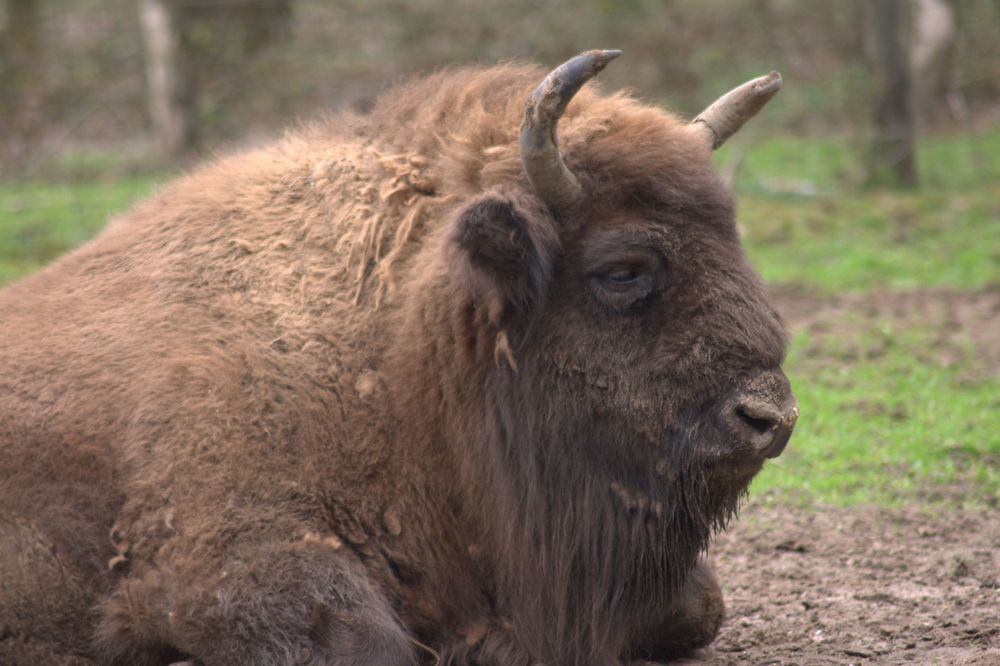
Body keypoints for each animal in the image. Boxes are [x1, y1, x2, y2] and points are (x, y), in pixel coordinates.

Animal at [1, 53, 796, 664]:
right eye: (623, 269)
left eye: (733, 240)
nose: (770, 418)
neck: (399, 354)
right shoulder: (221, 555)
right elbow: (364, 641)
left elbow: (700, 604)